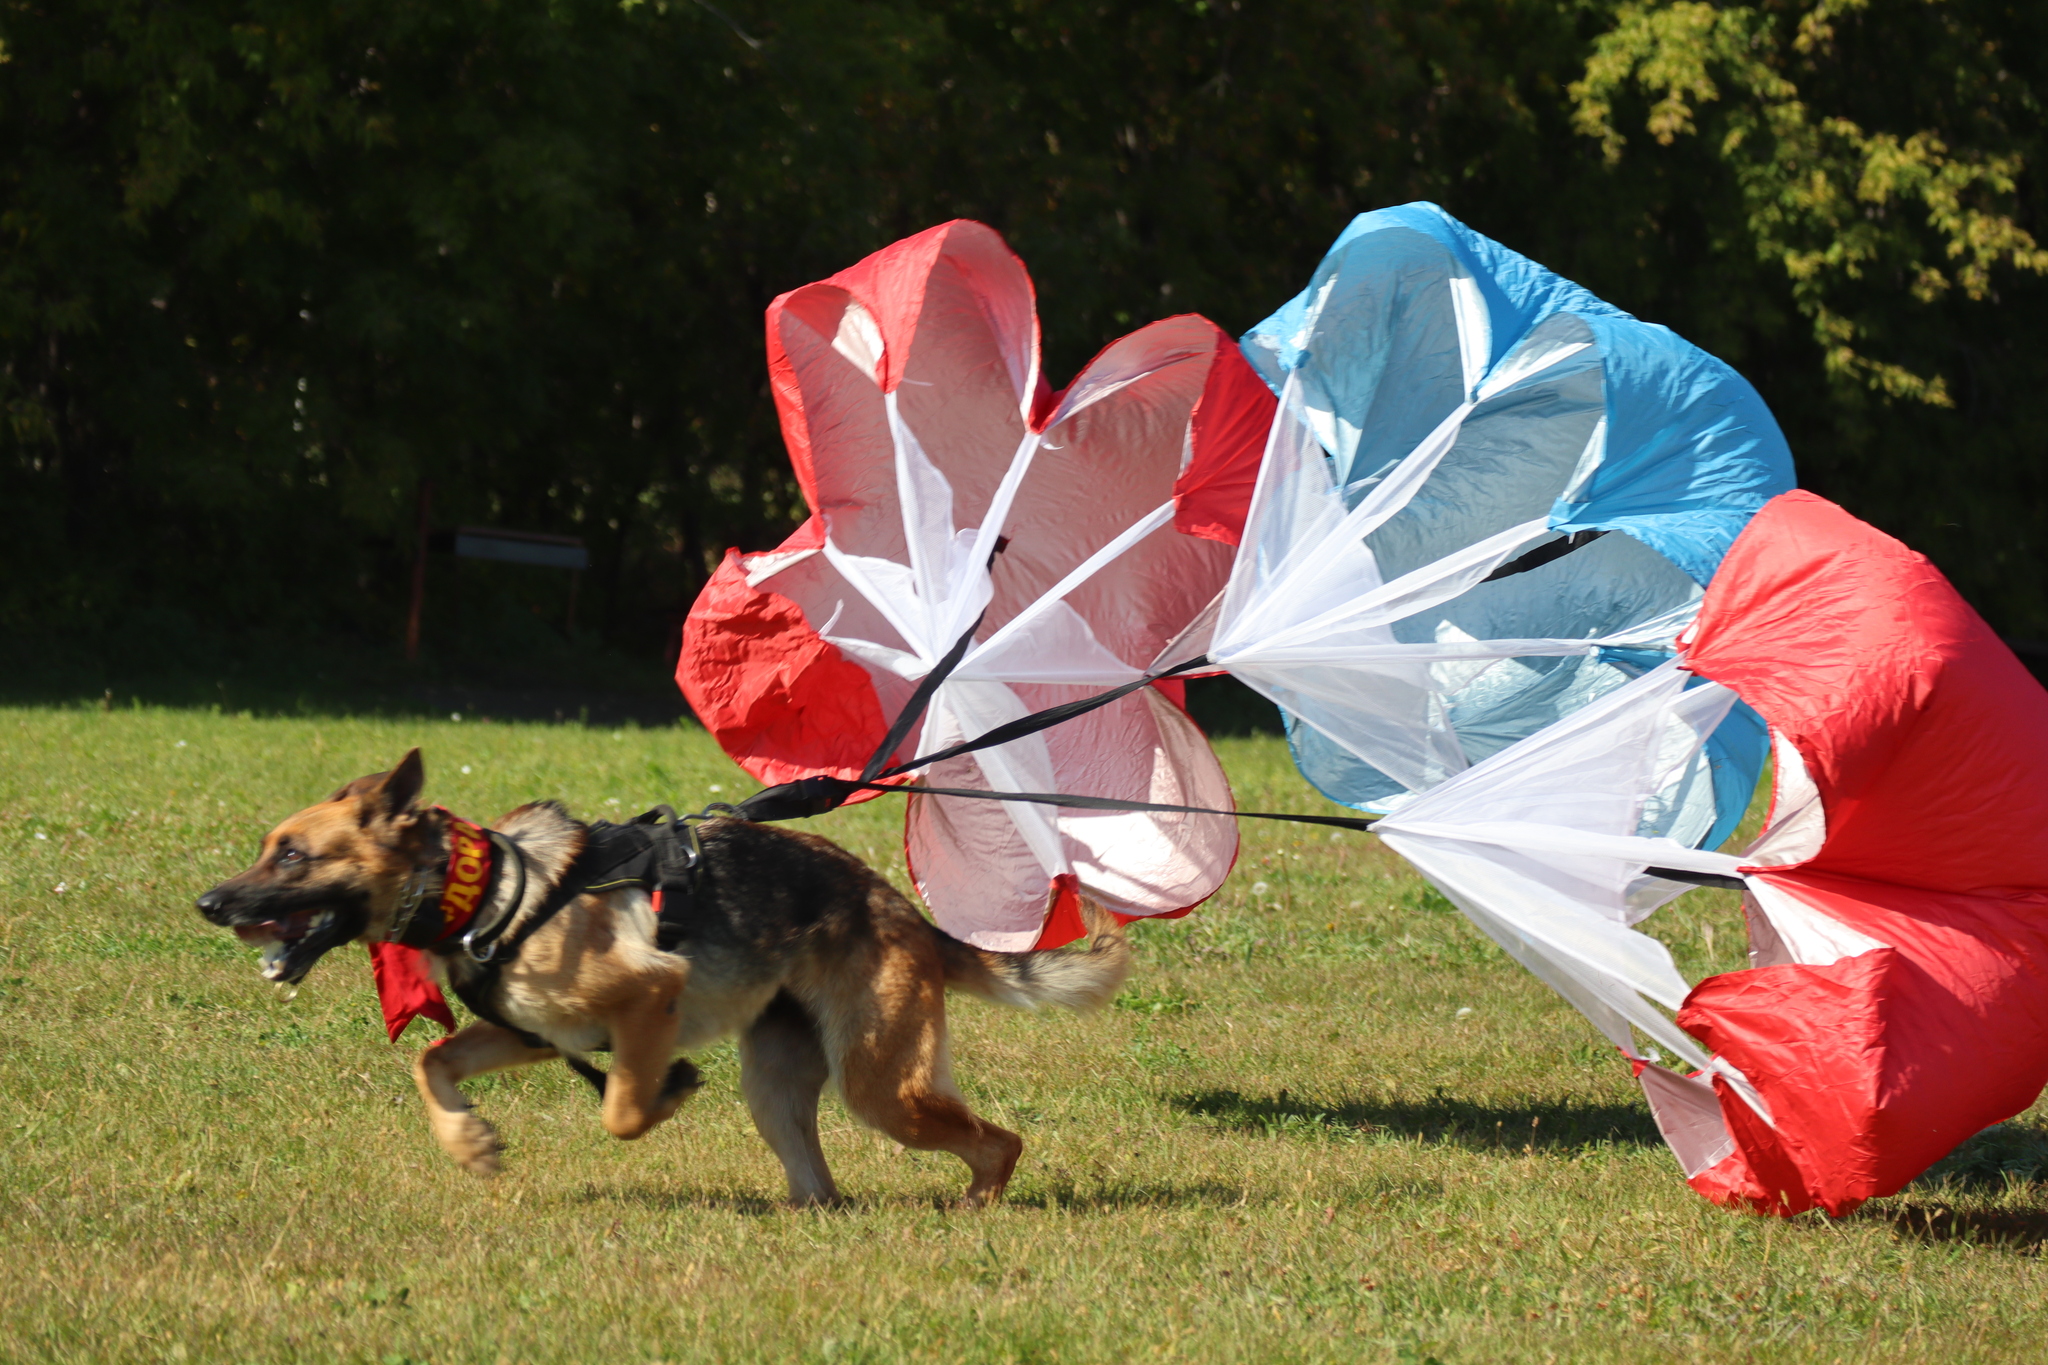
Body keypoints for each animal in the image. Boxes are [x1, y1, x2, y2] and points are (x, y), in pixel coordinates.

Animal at [193, 749, 1130, 1203]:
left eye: (293, 855)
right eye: (271, 847)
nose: (208, 902)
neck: (489, 889)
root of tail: (904, 912)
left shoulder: (648, 998)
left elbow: (620, 1109)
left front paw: (667, 1091)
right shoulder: (533, 1031)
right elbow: (435, 1060)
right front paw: (470, 1142)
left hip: (881, 1088)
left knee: (1000, 1142)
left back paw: (975, 1207)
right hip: (780, 1089)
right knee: (823, 1186)